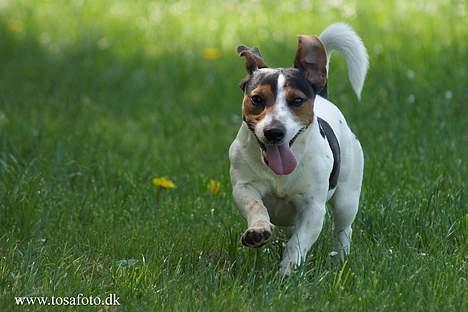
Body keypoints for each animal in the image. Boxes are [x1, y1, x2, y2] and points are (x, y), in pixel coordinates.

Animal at [229, 23, 368, 274]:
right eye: (256, 99)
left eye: (297, 100)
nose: (274, 132)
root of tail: (323, 96)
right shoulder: (244, 186)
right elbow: (255, 205)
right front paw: (258, 230)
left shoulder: (313, 208)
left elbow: (298, 243)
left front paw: (287, 270)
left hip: (347, 198)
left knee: (343, 229)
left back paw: (340, 260)